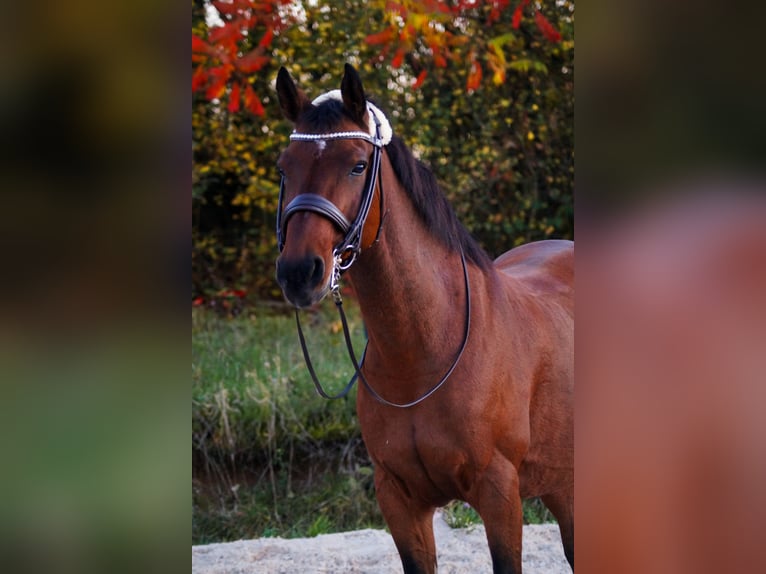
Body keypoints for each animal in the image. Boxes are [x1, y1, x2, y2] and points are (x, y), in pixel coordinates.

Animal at [272, 64, 572, 574]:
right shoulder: (399, 500)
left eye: (357, 165)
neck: (425, 351)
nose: (299, 272)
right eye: (284, 167)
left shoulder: (500, 494)